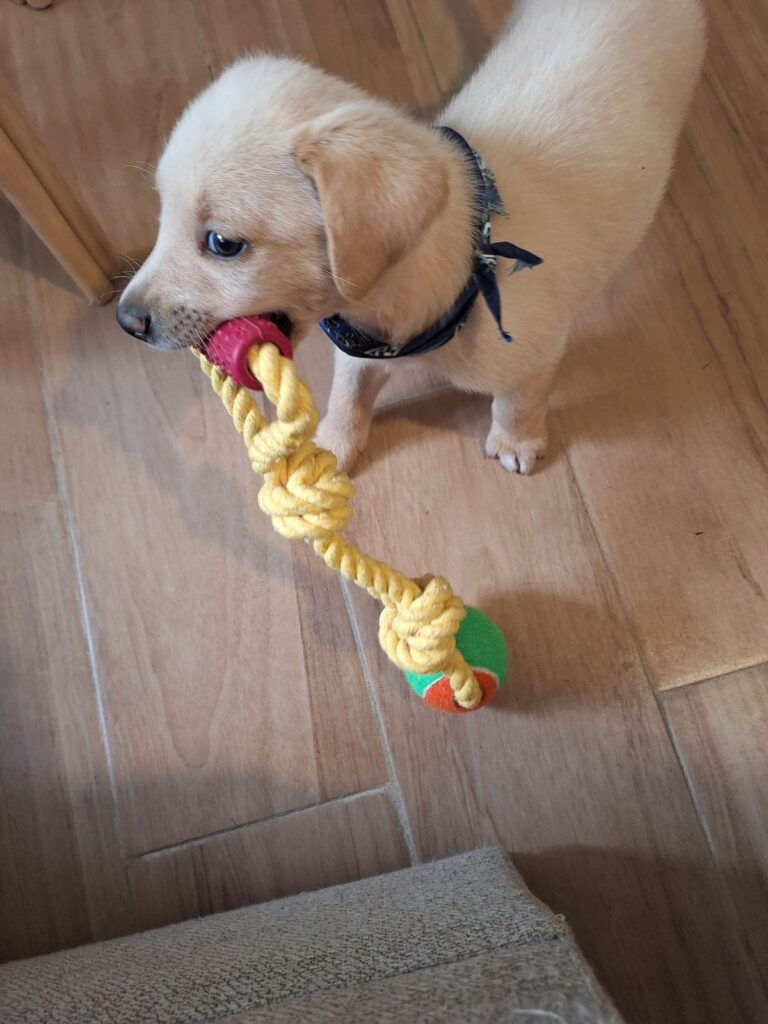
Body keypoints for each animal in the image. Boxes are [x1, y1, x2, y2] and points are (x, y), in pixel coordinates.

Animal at [117, 0, 706, 474]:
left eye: (222, 244)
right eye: (162, 216)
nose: (125, 322)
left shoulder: (537, 354)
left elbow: (517, 402)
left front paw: (517, 441)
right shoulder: (356, 344)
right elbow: (348, 395)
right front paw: (334, 445)